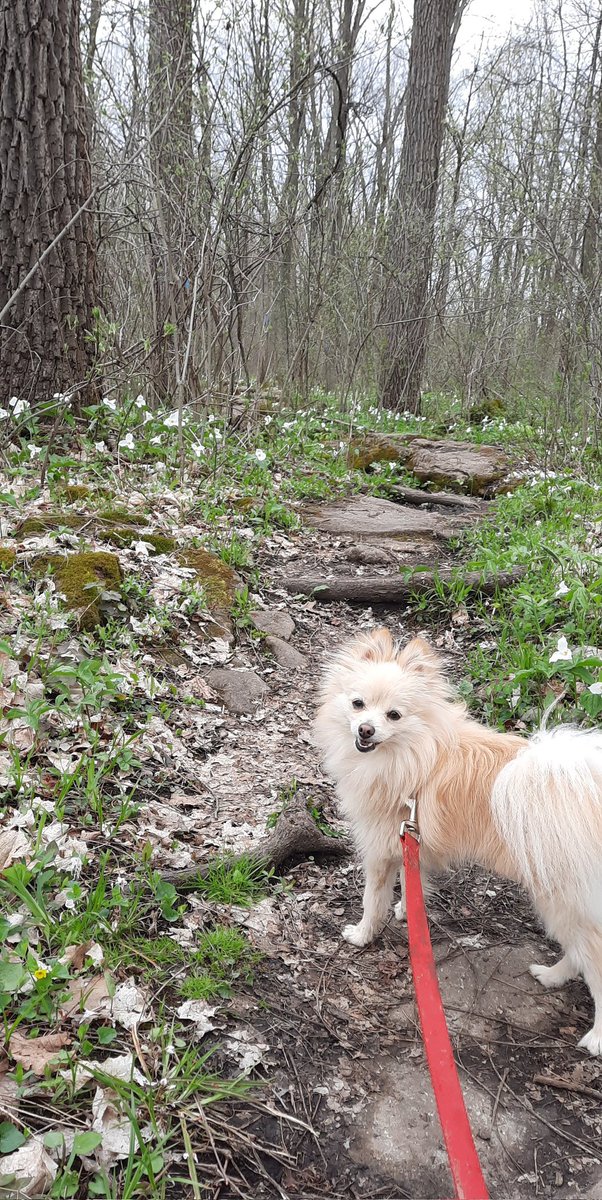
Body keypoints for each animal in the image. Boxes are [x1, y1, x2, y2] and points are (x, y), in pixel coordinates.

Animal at [311, 624, 602, 1056]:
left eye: (393, 715)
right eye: (357, 704)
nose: (365, 729)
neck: (412, 754)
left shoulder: (379, 849)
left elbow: (372, 900)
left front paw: (362, 934)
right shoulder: (407, 840)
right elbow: (410, 880)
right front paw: (407, 909)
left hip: (566, 900)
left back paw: (596, 1036)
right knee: (579, 953)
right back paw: (551, 975)